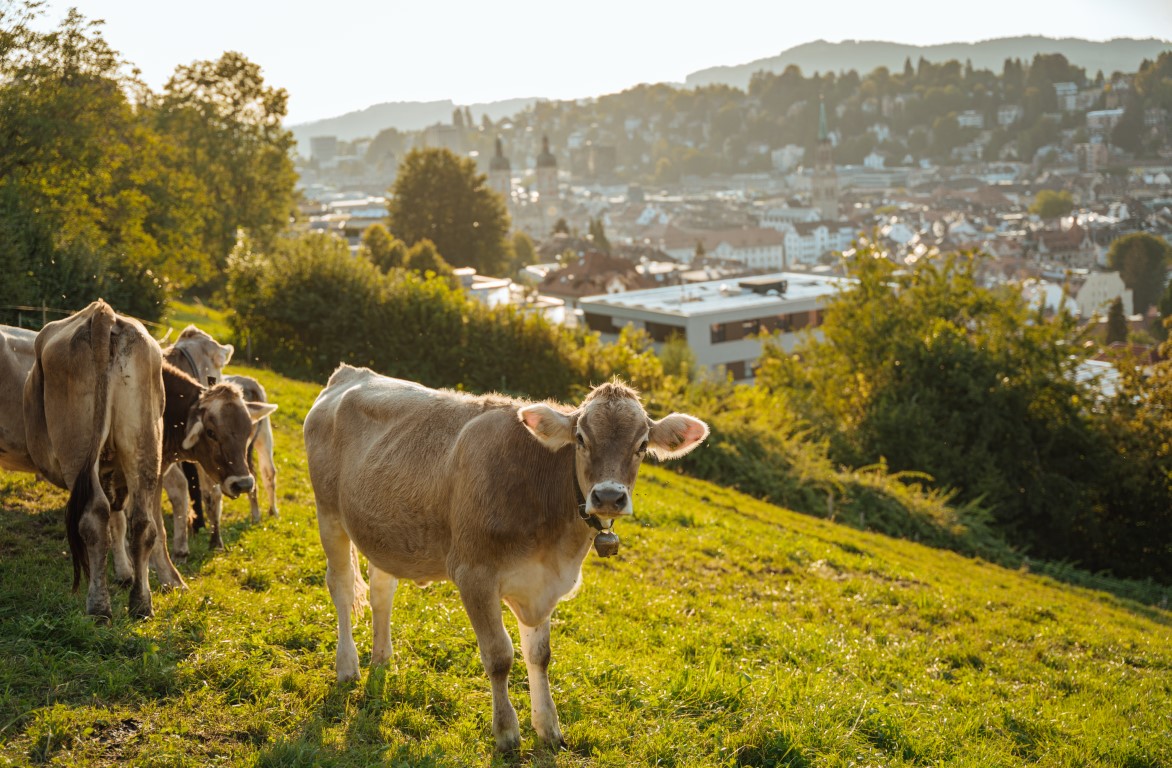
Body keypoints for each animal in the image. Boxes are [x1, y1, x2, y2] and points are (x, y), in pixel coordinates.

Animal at [302, 365, 703, 750]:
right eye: (581, 438)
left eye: (641, 445)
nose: (607, 497)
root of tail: (351, 373)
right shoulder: (474, 574)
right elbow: (499, 656)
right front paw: (507, 733)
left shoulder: (542, 583)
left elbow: (539, 654)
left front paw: (549, 727)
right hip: (328, 513)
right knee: (340, 587)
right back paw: (347, 666)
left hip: (383, 530)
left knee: (381, 591)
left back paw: (383, 659)